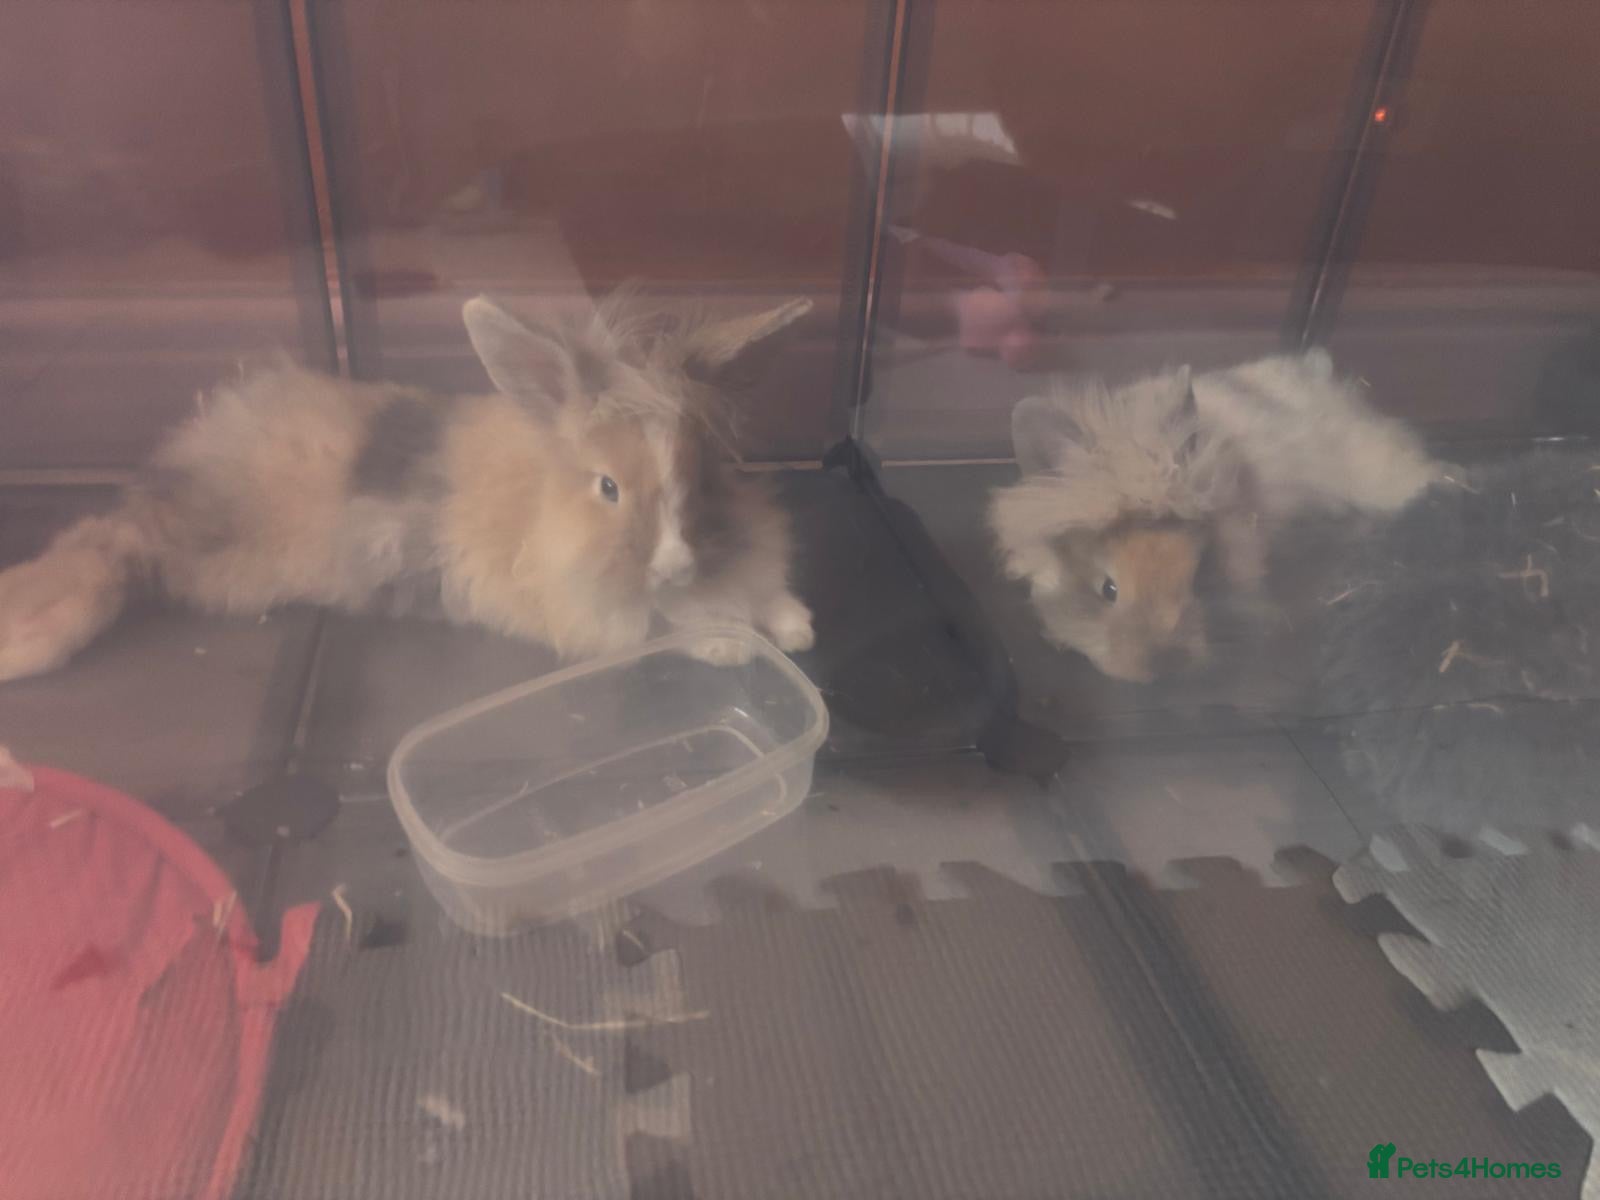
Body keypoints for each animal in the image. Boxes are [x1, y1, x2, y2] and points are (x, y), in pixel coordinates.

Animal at [0, 289, 816, 682]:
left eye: (703, 471)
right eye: (609, 487)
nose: (675, 564)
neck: (546, 503)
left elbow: (764, 595)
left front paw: (797, 626)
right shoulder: (589, 610)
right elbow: (669, 627)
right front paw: (733, 646)